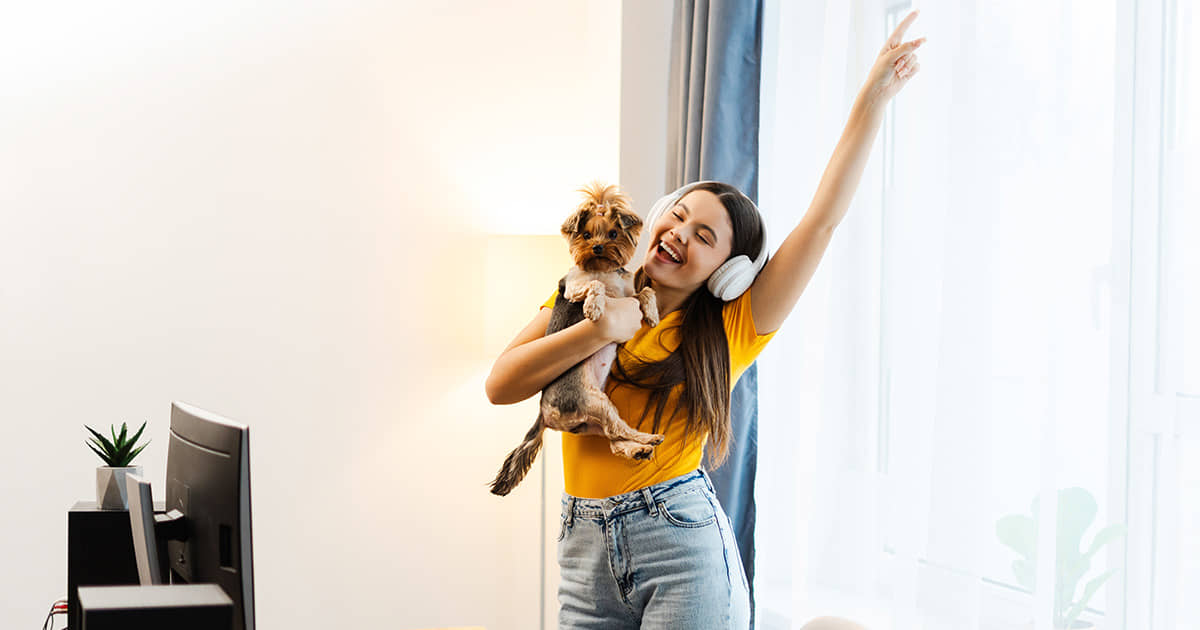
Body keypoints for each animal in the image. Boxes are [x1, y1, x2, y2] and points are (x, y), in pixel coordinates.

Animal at [489, 182, 663, 497]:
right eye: (585, 234)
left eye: (614, 233)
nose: (597, 247)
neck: (603, 269)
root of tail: (544, 413)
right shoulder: (574, 288)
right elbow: (594, 285)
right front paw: (594, 308)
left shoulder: (629, 292)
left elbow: (645, 291)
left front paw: (653, 314)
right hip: (593, 402)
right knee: (617, 430)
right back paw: (646, 439)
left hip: (590, 418)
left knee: (613, 438)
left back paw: (638, 447)